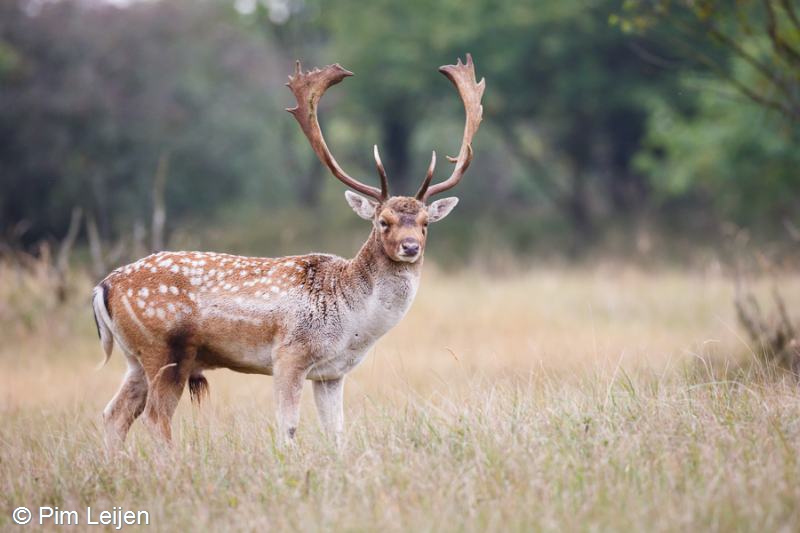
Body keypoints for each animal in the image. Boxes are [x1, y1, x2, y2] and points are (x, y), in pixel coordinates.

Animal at [91, 54, 484, 446]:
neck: (353, 324)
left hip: (136, 357)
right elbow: (288, 427)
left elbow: (336, 432)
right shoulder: (289, 354)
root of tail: (103, 287)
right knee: (155, 418)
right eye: (383, 221)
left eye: (425, 223)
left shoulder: (331, 373)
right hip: (165, 349)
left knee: (114, 415)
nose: (410, 246)